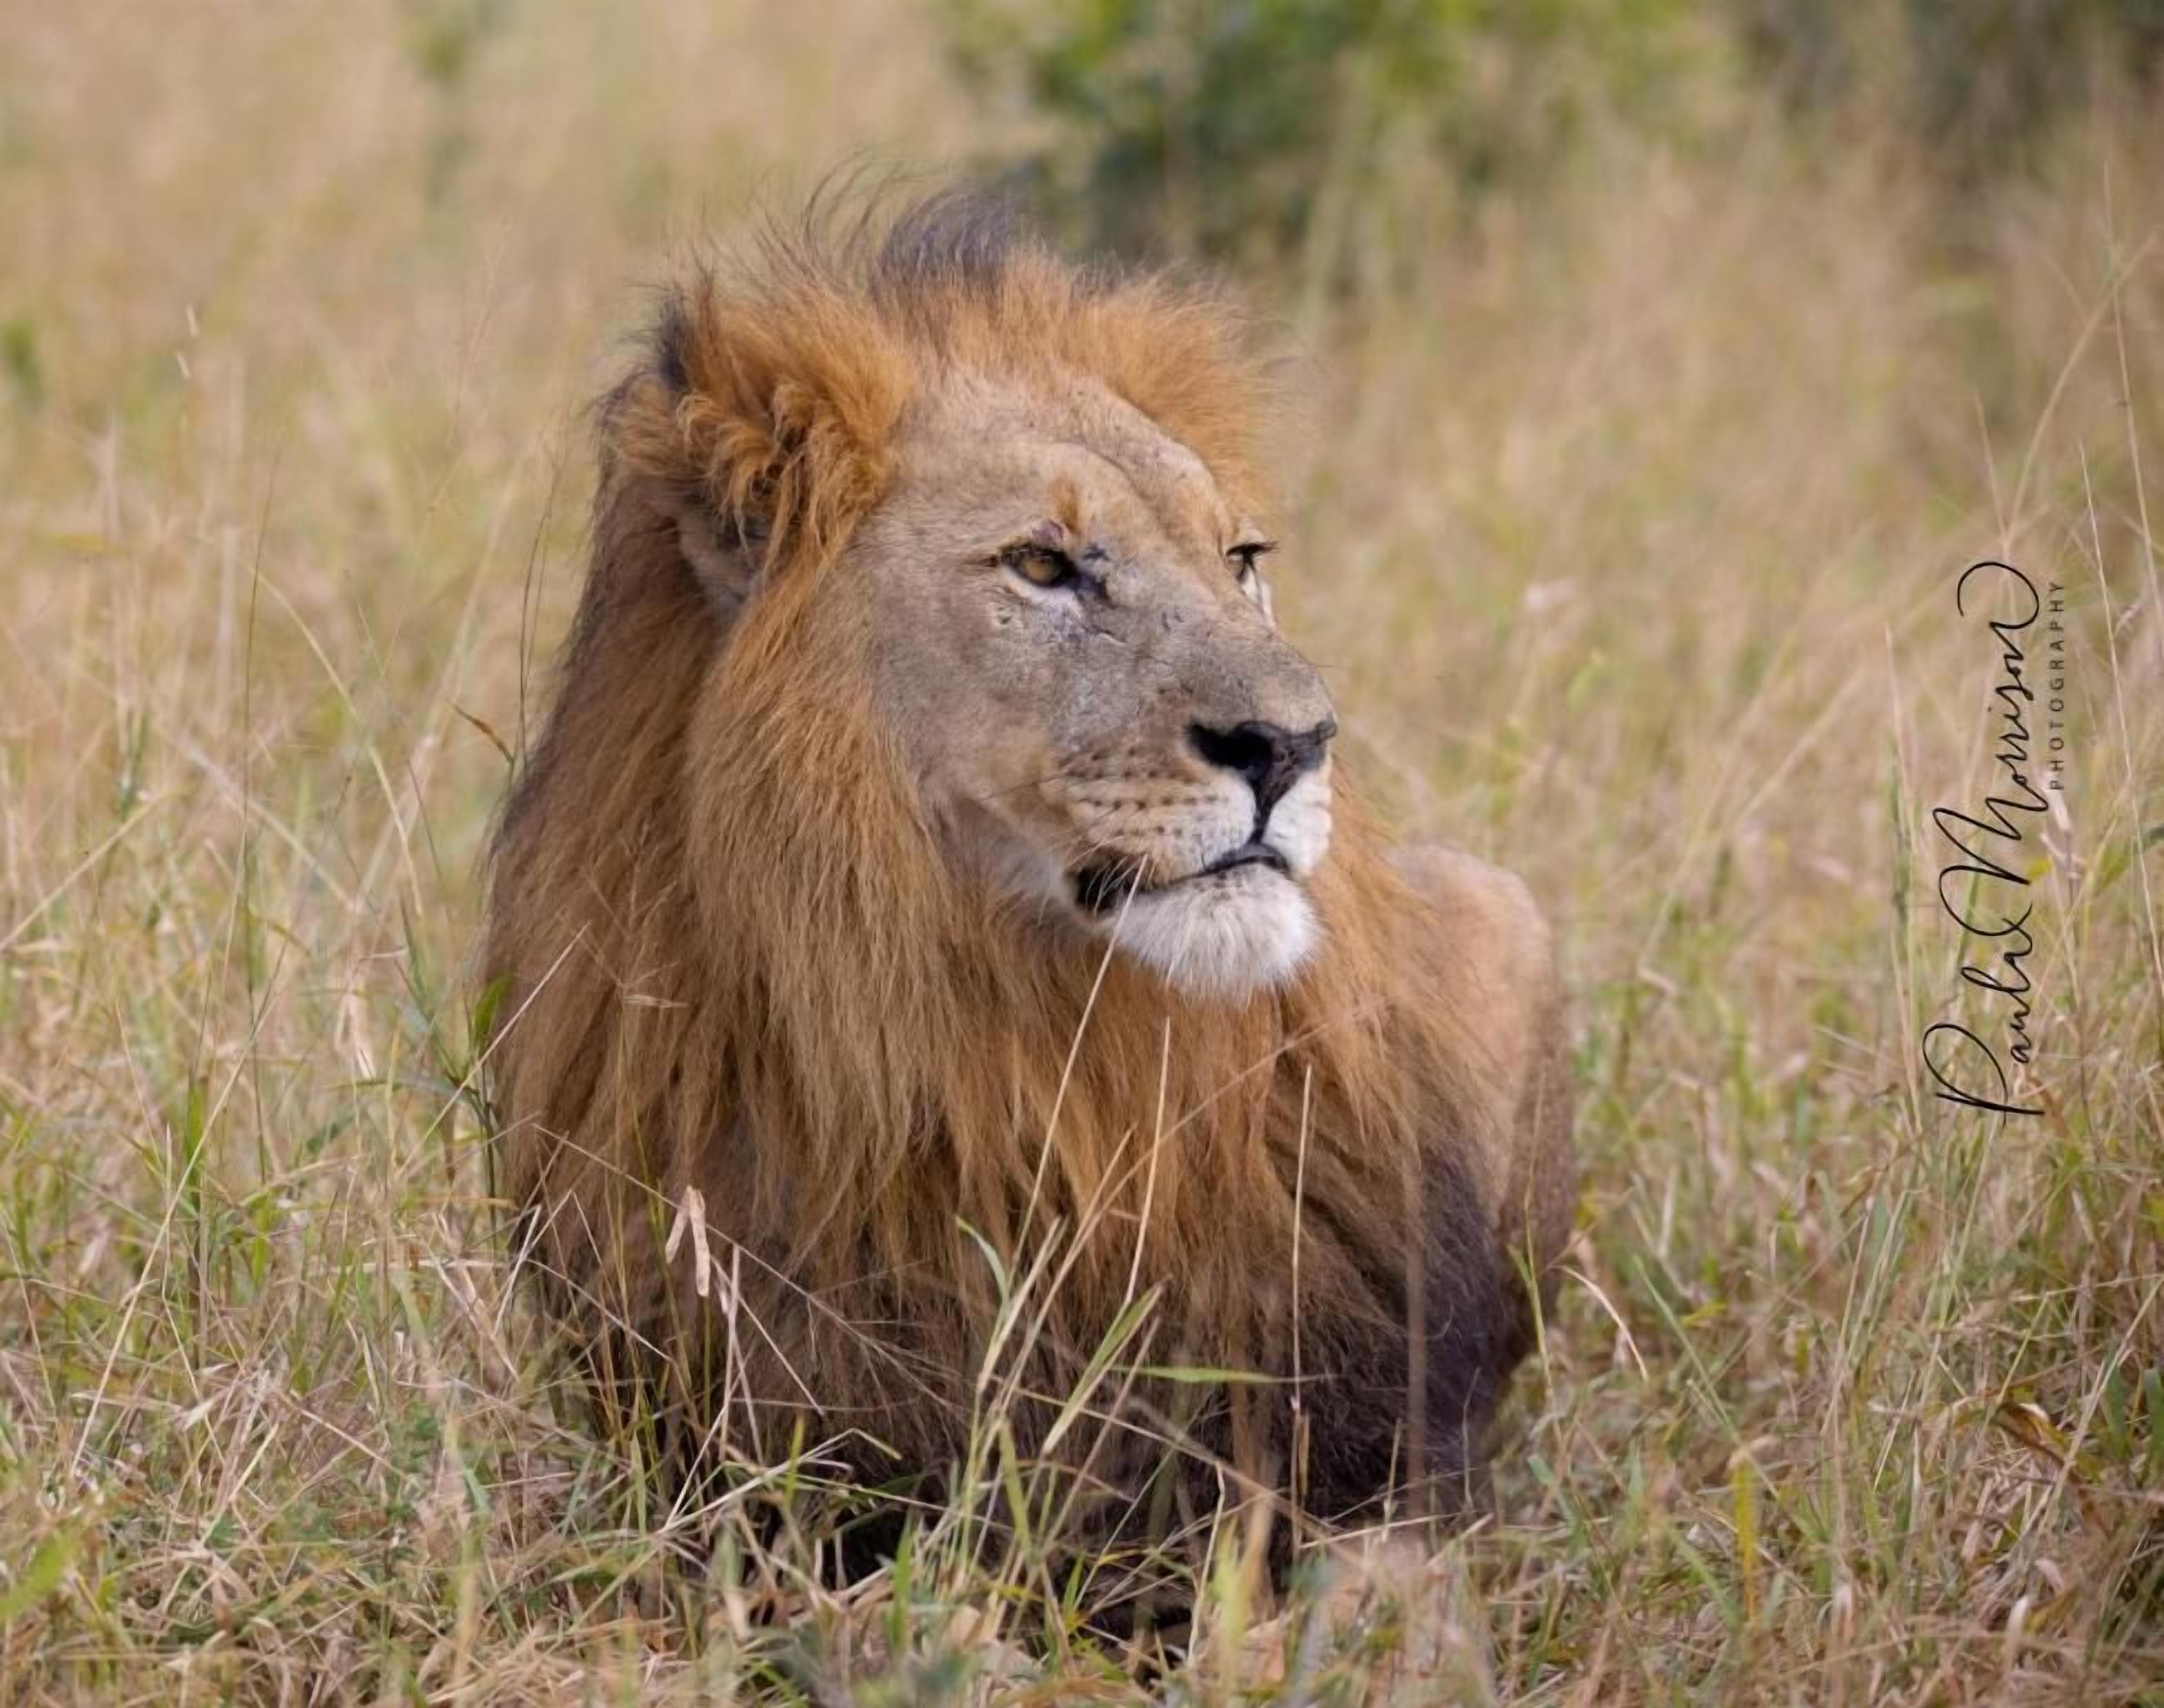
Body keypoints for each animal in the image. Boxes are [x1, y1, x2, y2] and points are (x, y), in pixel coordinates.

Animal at [482, 193, 1574, 1597]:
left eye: (1239, 558)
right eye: (1042, 566)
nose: (1296, 741)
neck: (1019, 1054)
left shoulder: (1382, 1444)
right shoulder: (752, 1467)